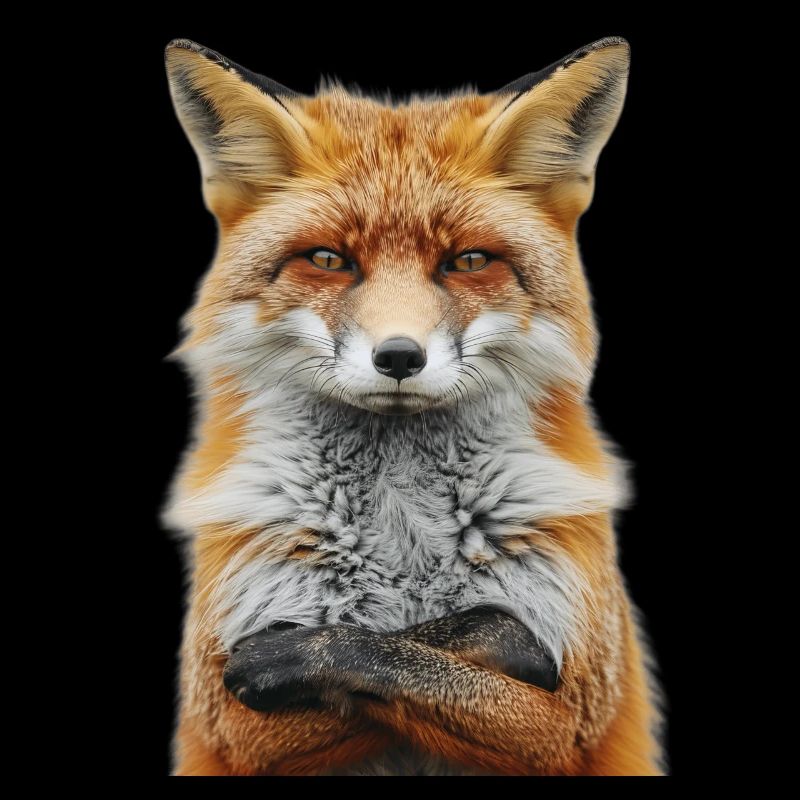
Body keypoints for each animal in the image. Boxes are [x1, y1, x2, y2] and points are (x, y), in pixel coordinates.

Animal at [162, 36, 665, 775]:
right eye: (328, 260)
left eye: (469, 262)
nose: (399, 357)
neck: (401, 527)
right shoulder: (229, 720)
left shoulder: (574, 711)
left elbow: (427, 650)